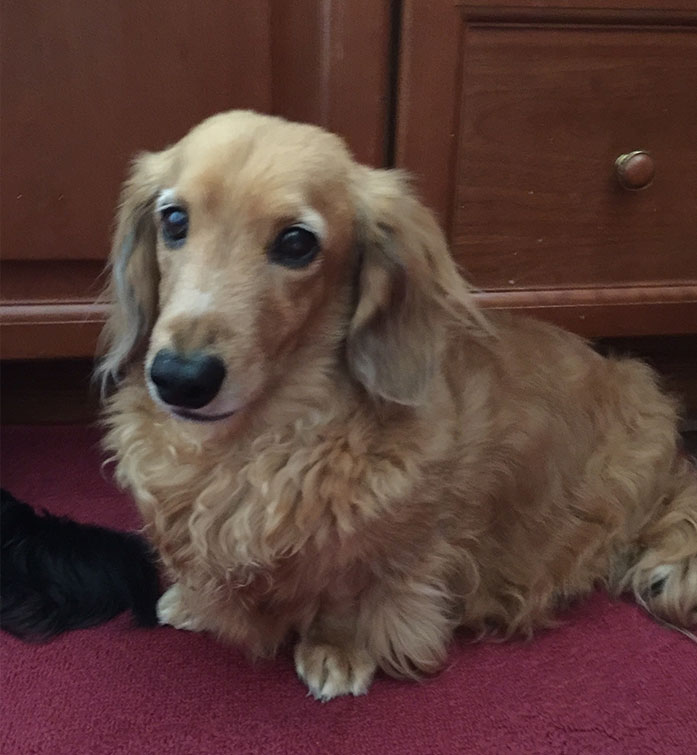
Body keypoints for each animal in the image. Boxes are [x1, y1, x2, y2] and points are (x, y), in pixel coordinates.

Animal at [99, 110, 696, 704]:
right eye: (174, 220)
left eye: (296, 242)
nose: (180, 379)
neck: (255, 438)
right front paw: (192, 602)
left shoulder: (403, 543)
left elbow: (350, 591)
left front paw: (336, 650)